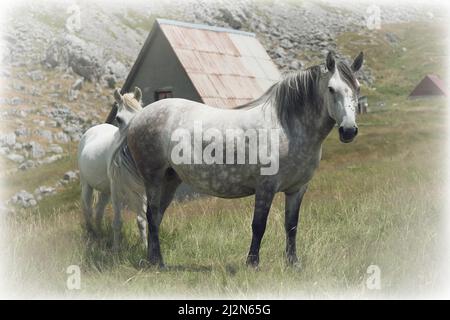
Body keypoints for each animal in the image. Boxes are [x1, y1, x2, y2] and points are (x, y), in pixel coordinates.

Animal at [77, 87, 146, 250]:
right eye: (119, 119)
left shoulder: (141, 190)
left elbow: (142, 221)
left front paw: (146, 247)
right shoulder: (116, 191)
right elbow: (117, 222)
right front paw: (116, 250)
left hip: (105, 192)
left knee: (98, 212)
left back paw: (100, 235)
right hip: (87, 186)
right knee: (87, 210)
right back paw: (92, 235)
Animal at [122, 52, 362, 268]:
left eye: (357, 88)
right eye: (331, 89)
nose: (349, 131)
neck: (287, 127)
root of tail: (138, 118)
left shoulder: (297, 189)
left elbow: (291, 225)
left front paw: (293, 263)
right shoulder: (265, 187)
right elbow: (259, 225)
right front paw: (252, 263)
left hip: (170, 180)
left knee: (156, 216)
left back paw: (154, 260)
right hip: (153, 178)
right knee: (151, 215)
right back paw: (158, 263)